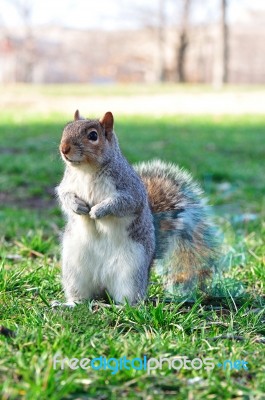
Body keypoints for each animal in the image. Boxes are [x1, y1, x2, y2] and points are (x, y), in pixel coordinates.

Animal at [54, 111, 219, 308]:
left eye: (93, 136)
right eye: (66, 128)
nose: (64, 148)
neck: (87, 170)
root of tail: (103, 285)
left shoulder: (131, 191)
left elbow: (123, 203)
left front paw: (98, 211)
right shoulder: (67, 183)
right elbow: (64, 194)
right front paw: (76, 205)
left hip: (131, 272)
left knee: (130, 300)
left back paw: (118, 307)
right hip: (74, 270)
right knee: (82, 296)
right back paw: (70, 304)